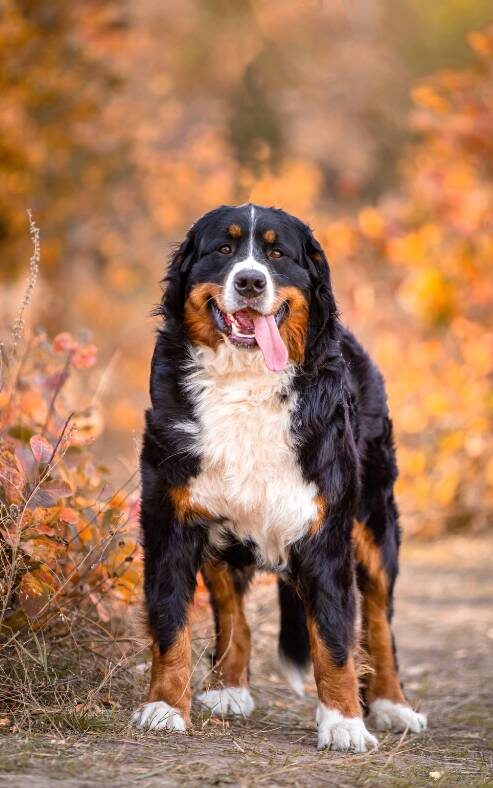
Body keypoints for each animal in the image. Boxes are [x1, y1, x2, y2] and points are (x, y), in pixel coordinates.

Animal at [133, 203, 424, 752]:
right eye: (224, 249)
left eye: (277, 255)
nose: (249, 281)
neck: (246, 383)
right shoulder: (171, 518)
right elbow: (170, 619)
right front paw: (165, 705)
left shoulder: (325, 533)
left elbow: (334, 637)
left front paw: (344, 722)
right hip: (222, 534)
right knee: (233, 616)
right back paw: (228, 688)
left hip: (375, 524)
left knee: (379, 622)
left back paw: (392, 705)